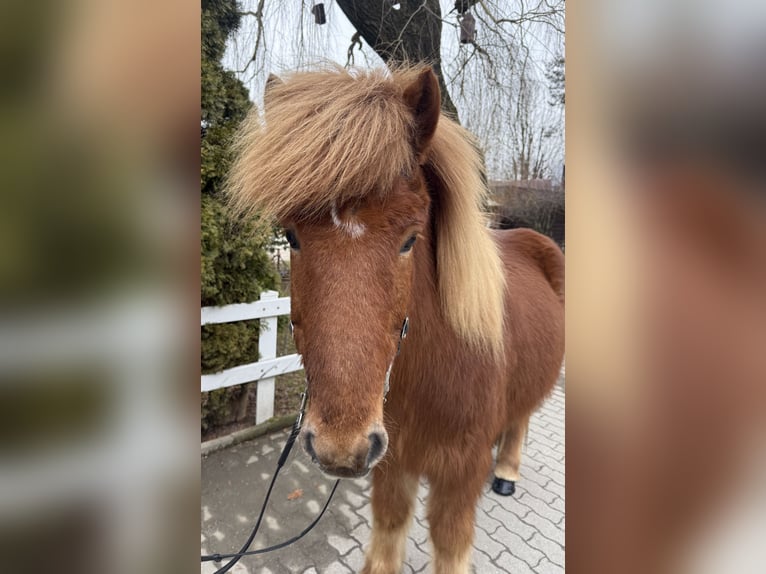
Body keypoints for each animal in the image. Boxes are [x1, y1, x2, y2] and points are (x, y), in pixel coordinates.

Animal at [227, 65, 565, 574]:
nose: (339, 447)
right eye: (291, 235)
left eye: (410, 239)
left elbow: (450, 546)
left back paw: (506, 471)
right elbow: (388, 530)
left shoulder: (458, 477)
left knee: (520, 420)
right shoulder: (393, 464)